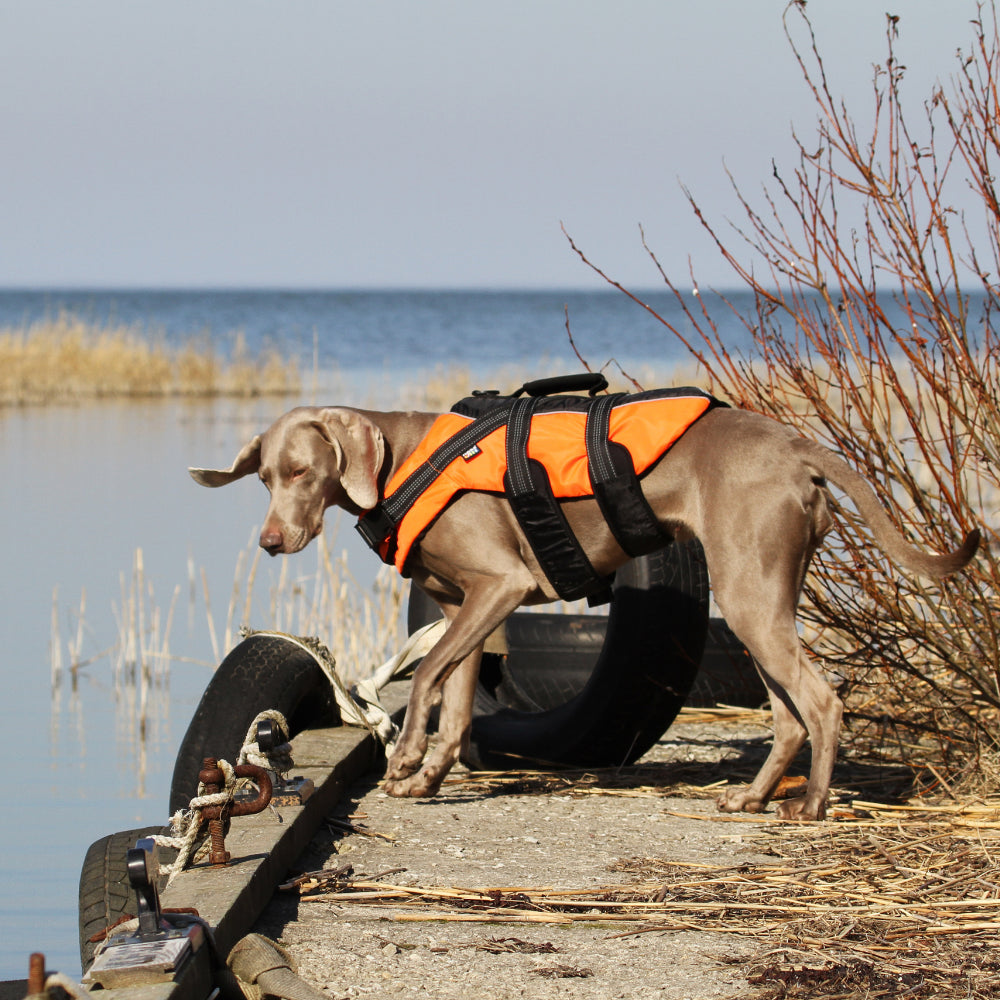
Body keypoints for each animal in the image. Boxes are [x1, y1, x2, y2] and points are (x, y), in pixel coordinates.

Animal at [191, 398, 980, 820]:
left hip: (752, 596)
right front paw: (427, 778)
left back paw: (810, 805)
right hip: (759, 596)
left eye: (302, 471)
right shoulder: (463, 605)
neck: (403, 461)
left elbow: (428, 676)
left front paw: (406, 755)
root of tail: (797, 446)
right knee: (789, 715)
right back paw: (750, 799)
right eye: (263, 477)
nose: (269, 542)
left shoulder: (502, 585)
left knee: (820, 702)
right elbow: (456, 700)